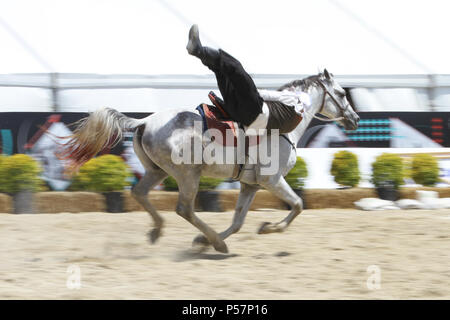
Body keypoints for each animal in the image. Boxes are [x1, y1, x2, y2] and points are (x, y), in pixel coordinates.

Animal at [61, 69, 360, 252]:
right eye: (342, 94)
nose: (355, 118)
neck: (282, 121)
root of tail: (144, 121)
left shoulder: (250, 184)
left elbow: (238, 221)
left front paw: (202, 242)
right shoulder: (272, 180)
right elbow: (298, 204)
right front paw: (268, 228)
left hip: (157, 171)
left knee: (140, 192)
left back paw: (160, 231)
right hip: (188, 176)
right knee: (184, 209)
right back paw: (216, 242)